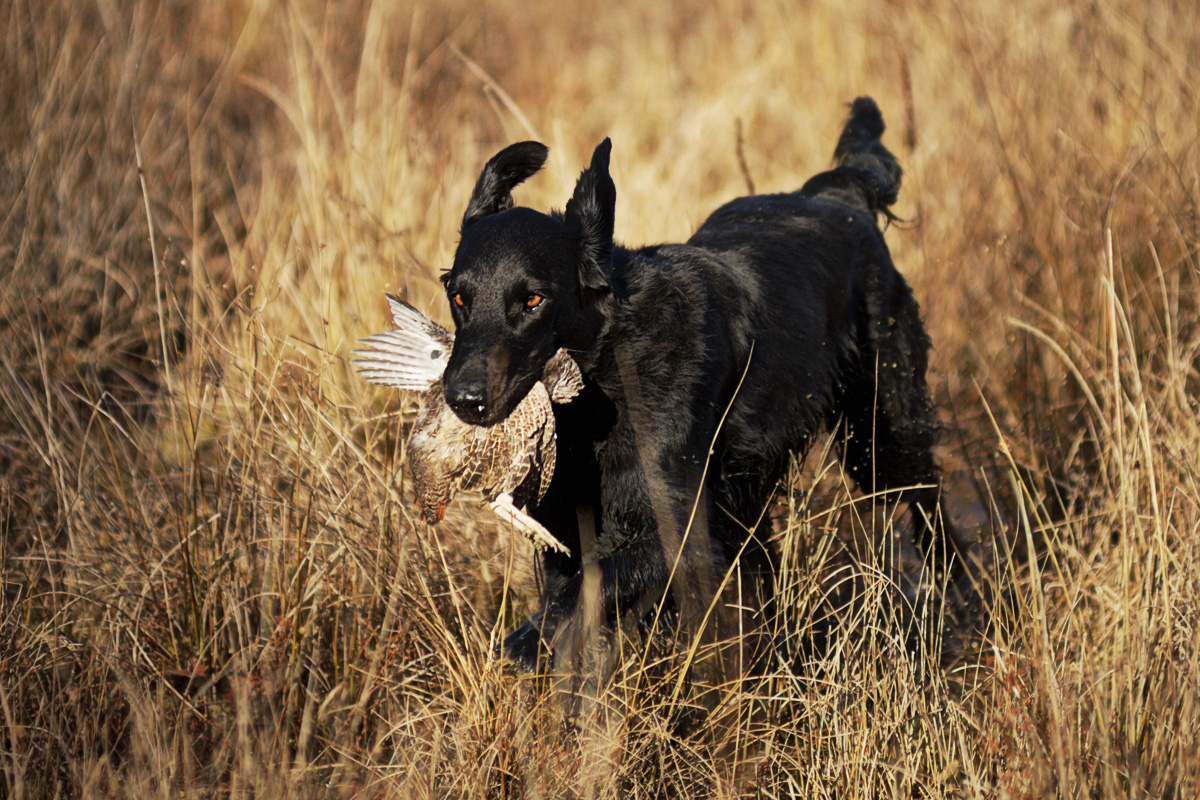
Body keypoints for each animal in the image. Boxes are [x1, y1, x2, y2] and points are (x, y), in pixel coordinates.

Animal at [441, 97, 955, 671]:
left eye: (533, 300)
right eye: (457, 296)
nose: (464, 399)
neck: (609, 377)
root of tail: (838, 195)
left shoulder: (684, 525)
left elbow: (589, 590)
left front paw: (529, 640)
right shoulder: (567, 530)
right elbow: (573, 594)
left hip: (882, 435)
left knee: (930, 504)